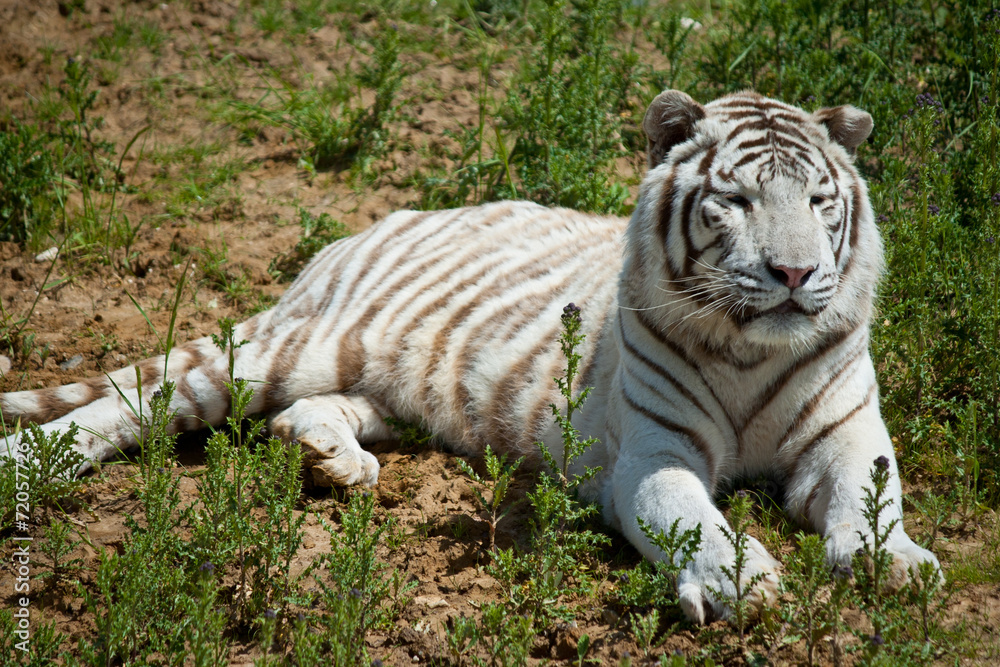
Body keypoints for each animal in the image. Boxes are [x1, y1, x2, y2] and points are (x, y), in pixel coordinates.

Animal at [1, 89, 941, 624]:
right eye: (736, 201)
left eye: (818, 201)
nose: (795, 274)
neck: (748, 348)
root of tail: (367, 227)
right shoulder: (651, 451)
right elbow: (686, 513)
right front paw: (739, 581)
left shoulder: (848, 433)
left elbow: (872, 497)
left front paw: (896, 563)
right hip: (281, 350)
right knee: (130, 404)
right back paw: (24, 464)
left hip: (381, 386)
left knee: (307, 410)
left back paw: (331, 460)